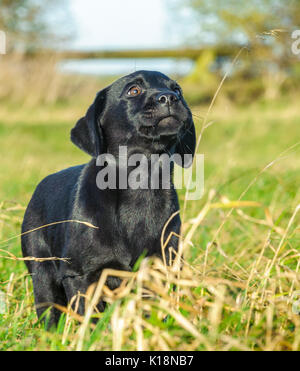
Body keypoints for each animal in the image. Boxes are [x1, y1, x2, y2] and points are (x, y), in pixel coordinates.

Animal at [21, 70, 195, 326]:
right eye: (133, 90)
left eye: (178, 90)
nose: (169, 97)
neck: (140, 185)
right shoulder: (80, 276)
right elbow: (89, 318)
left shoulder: (162, 267)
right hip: (41, 271)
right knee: (49, 312)